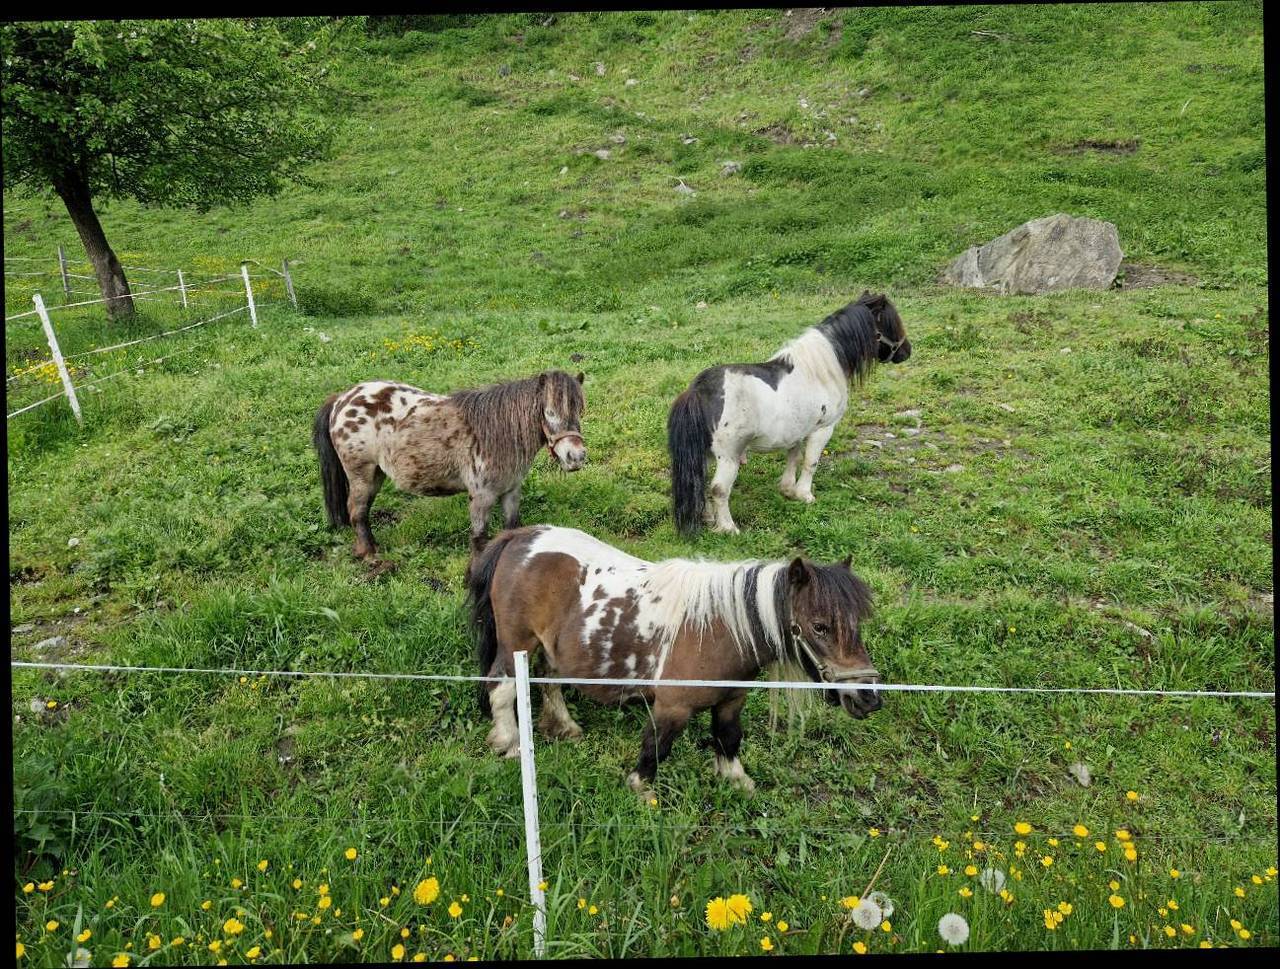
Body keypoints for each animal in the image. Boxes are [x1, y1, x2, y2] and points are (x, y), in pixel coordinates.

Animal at [312, 371, 586, 565]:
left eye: (580, 411)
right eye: (549, 412)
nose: (576, 456)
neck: (497, 433)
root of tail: (341, 399)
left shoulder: (511, 491)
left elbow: (511, 528)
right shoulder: (482, 496)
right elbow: (479, 538)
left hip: (375, 475)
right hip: (362, 474)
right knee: (357, 512)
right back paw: (370, 556)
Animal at [468, 524, 880, 788]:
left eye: (858, 623)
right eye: (819, 626)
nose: (869, 697)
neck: (720, 629)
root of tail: (519, 536)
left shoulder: (732, 700)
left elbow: (729, 737)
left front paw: (736, 780)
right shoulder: (672, 706)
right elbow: (656, 747)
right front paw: (641, 789)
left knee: (548, 678)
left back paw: (564, 726)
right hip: (515, 643)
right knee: (502, 688)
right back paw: (509, 742)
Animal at [670, 294, 911, 537]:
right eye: (891, 321)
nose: (907, 351)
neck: (820, 370)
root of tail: (698, 390)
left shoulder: (797, 430)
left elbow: (793, 457)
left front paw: (787, 490)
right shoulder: (823, 429)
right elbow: (811, 462)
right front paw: (805, 494)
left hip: (705, 454)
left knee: (700, 482)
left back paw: (708, 518)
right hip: (729, 457)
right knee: (719, 489)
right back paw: (729, 528)